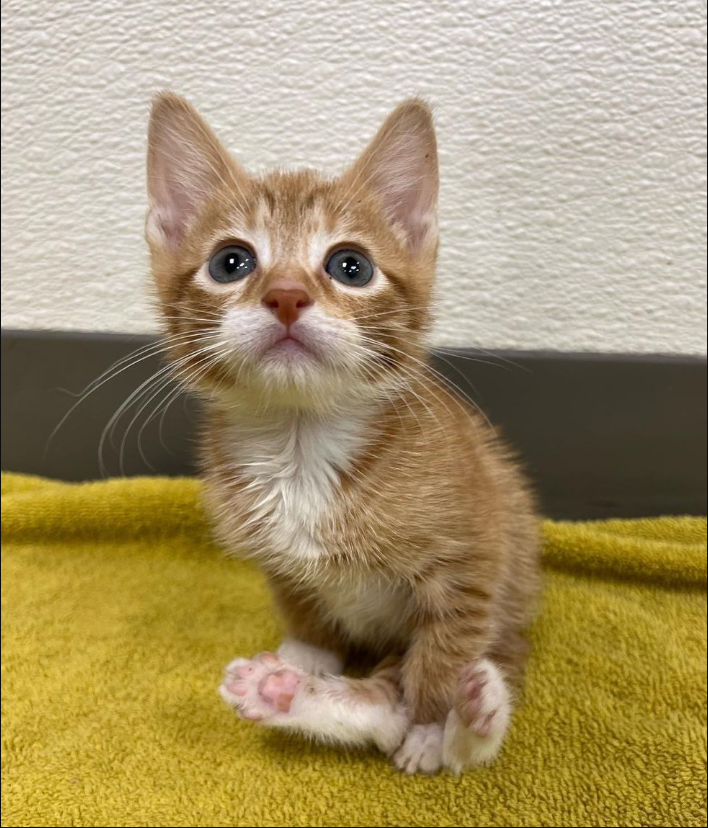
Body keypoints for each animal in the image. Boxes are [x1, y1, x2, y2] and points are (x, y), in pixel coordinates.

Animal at [147, 94, 540, 772]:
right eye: (231, 262)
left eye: (350, 267)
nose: (285, 295)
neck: (302, 449)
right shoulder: (274, 556)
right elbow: (305, 610)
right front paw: (304, 658)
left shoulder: (475, 556)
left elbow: (443, 649)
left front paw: (431, 727)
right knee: (382, 704)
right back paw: (280, 692)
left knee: (453, 683)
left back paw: (472, 714)